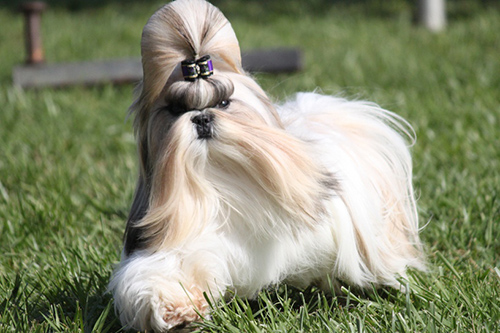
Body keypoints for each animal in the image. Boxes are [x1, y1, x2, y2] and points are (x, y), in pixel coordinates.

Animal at [108, 0, 422, 330]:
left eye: (223, 103)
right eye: (176, 109)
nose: (201, 118)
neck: (223, 184)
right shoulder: (177, 245)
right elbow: (165, 273)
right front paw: (176, 310)